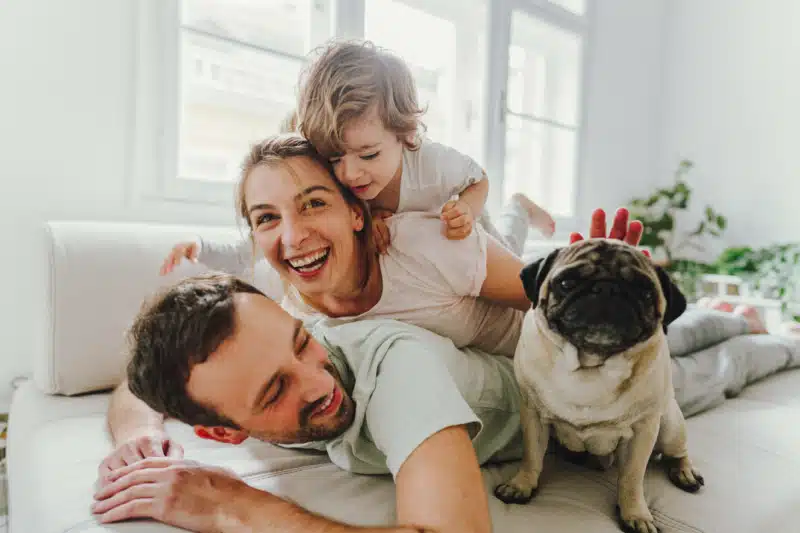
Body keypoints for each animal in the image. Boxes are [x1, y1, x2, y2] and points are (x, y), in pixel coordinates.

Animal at [494, 238, 708, 532]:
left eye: (645, 292)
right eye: (566, 283)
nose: (608, 288)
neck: (591, 364)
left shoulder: (643, 431)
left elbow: (631, 478)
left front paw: (636, 515)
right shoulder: (533, 415)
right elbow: (532, 456)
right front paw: (521, 485)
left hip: (669, 425)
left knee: (678, 451)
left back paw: (685, 472)